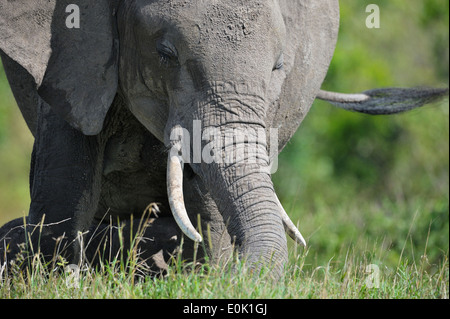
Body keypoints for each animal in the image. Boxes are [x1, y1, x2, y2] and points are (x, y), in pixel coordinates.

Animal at [0, 0, 446, 280]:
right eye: (165, 53)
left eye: (278, 65)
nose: (238, 274)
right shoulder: (70, 60)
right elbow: (62, 186)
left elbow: (207, 199)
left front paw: (210, 271)